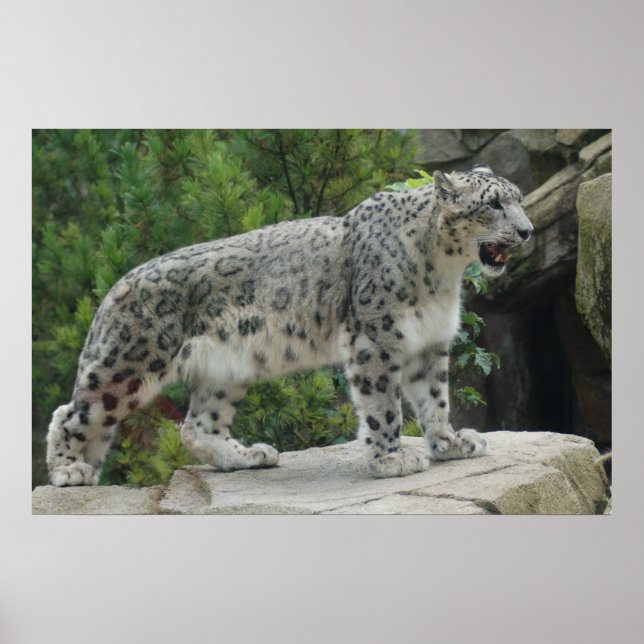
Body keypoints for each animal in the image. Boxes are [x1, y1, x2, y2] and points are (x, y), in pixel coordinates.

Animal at [46, 164, 533, 485]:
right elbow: (384, 405)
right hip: (130, 364)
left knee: (197, 425)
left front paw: (450, 444)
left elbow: (435, 400)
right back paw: (69, 470)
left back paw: (249, 455)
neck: (443, 275)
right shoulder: (376, 338)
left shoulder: (429, 343)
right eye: (493, 204)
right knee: (71, 413)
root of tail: (114, 287)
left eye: (520, 199)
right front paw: (390, 460)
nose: (527, 231)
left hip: (225, 372)